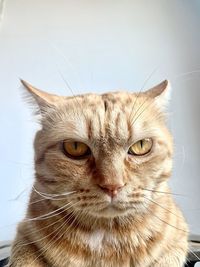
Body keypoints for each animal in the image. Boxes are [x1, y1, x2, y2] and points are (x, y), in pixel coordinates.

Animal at [8, 80, 188, 267]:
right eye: (75, 147)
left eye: (141, 146)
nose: (112, 186)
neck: (106, 238)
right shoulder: (24, 235)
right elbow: (24, 260)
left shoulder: (178, 239)